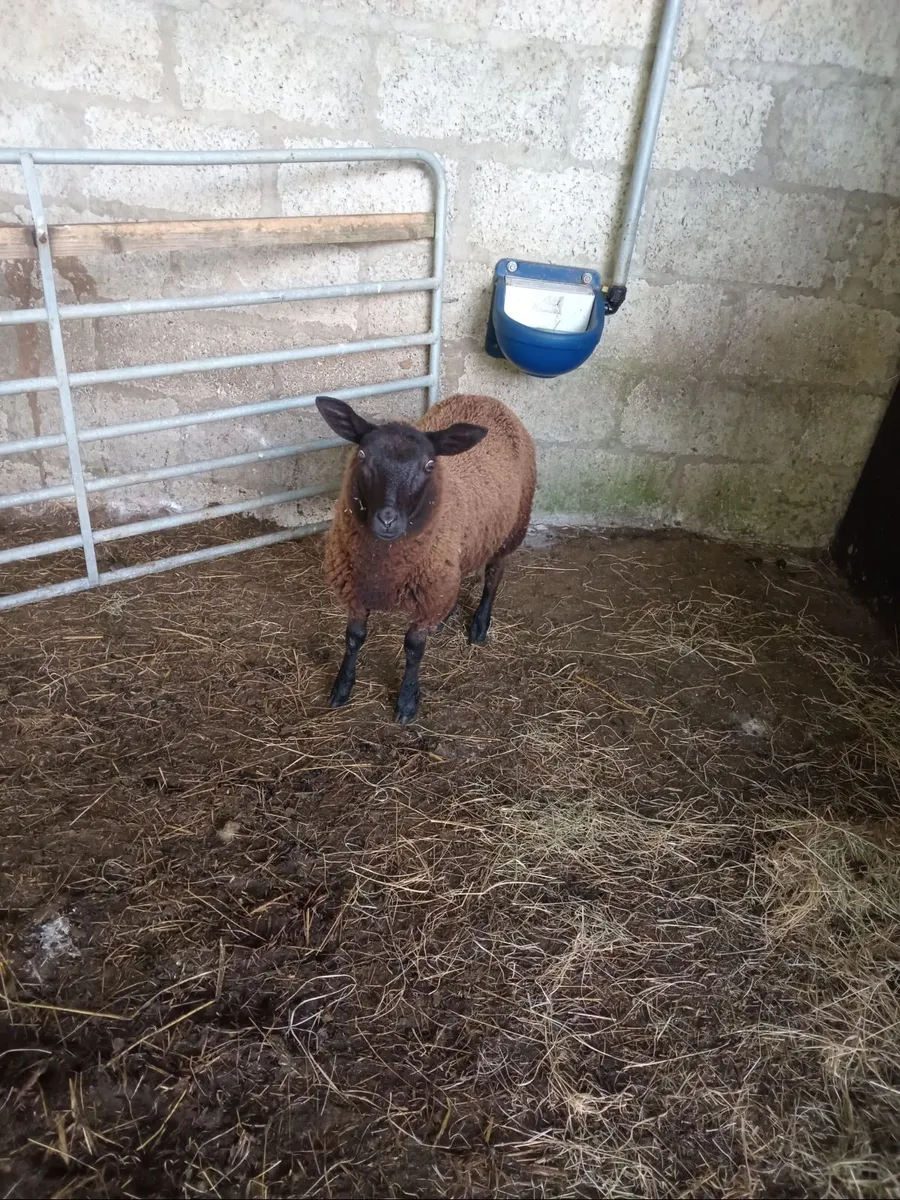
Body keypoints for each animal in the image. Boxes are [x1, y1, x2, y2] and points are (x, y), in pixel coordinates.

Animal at [314, 392, 537, 723]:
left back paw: (480, 625)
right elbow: (353, 637)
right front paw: (342, 687)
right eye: (363, 455)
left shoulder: (428, 596)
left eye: (430, 464)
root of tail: (485, 398)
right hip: (458, 552)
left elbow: (413, 649)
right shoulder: (356, 590)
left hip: (511, 530)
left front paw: (407, 702)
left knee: (493, 577)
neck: (383, 570)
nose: (387, 520)